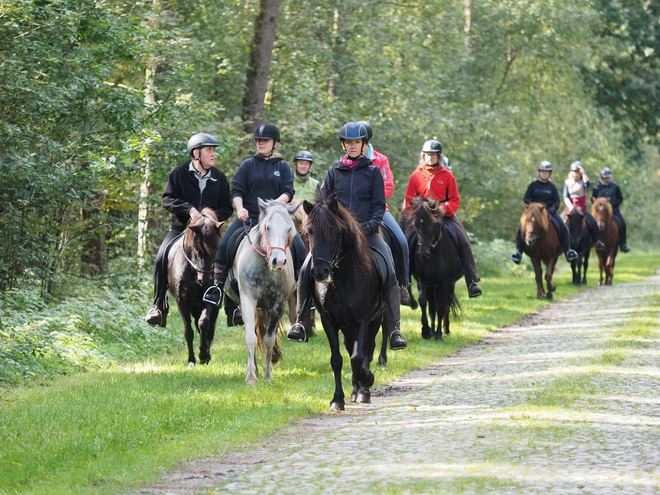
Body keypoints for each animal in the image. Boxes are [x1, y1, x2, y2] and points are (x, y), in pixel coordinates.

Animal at [166, 207, 226, 366]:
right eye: (195, 248)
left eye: (216, 248)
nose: (206, 280)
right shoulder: (181, 302)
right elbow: (189, 332)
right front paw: (191, 360)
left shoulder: (210, 298)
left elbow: (204, 323)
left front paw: (204, 355)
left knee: (210, 327)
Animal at [226, 200, 300, 386]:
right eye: (267, 227)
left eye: (289, 228)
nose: (278, 262)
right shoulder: (247, 301)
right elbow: (251, 338)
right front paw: (251, 377)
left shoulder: (278, 305)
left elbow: (268, 339)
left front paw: (268, 375)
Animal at [302, 196, 392, 412]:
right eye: (309, 232)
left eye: (334, 232)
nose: (319, 272)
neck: (340, 280)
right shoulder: (329, 321)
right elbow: (337, 359)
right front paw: (337, 399)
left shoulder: (362, 319)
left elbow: (359, 356)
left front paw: (367, 379)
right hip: (347, 327)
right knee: (351, 348)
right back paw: (355, 390)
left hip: (375, 319)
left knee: (367, 350)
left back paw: (363, 390)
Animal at [400, 198, 462, 340]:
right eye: (416, 225)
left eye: (432, 225)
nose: (423, 254)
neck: (434, 253)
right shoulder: (423, 279)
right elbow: (424, 302)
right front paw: (426, 331)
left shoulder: (445, 282)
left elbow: (441, 307)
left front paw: (439, 335)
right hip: (432, 286)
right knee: (432, 306)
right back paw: (433, 331)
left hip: (449, 285)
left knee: (446, 303)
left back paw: (445, 329)